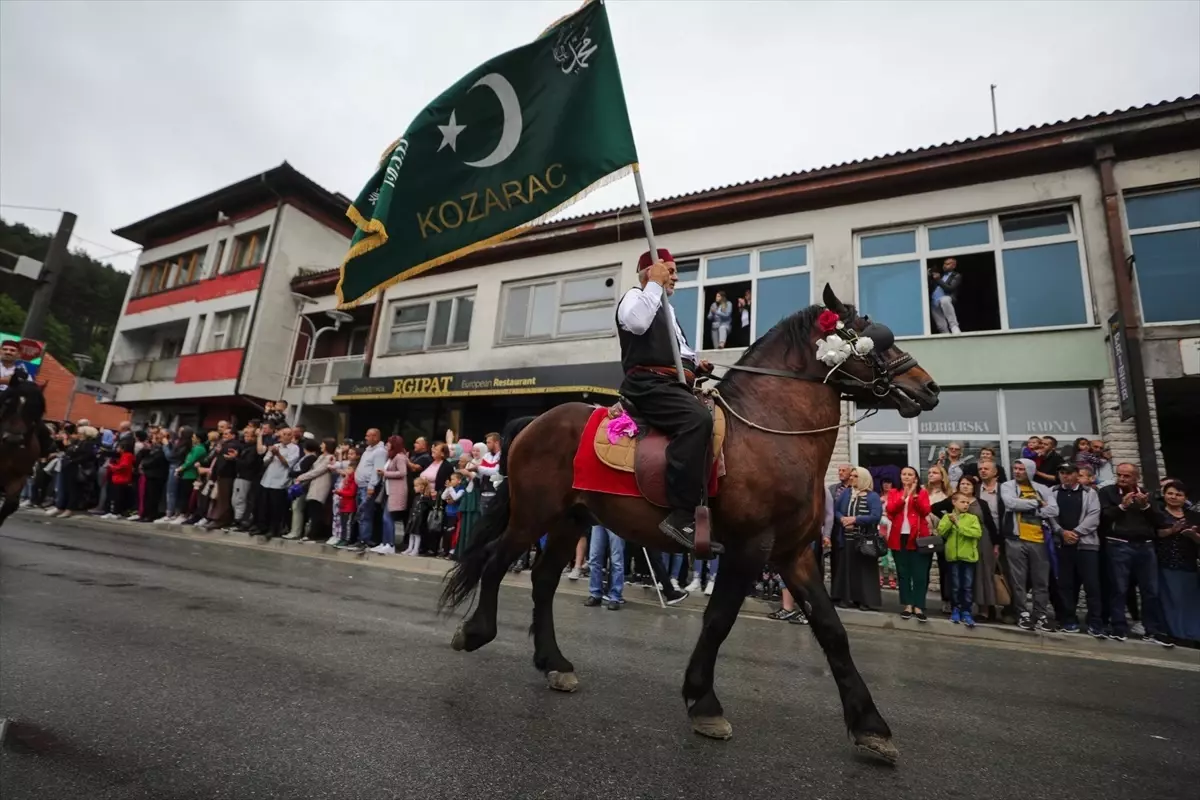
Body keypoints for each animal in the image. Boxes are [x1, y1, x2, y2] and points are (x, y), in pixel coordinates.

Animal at [439, 286, 936, 762]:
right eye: (870, 335)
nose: (929, 387)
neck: (769, 430)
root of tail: (534, 421)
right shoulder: (749, 547)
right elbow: (718, 620)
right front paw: (704, 702)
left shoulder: (793, 554)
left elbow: (833, 631)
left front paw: (870, 726)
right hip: (534, 514)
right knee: (496, 562)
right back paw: (477, 633)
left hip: (570, 521)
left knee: (542, 579)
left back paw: (554, 662)